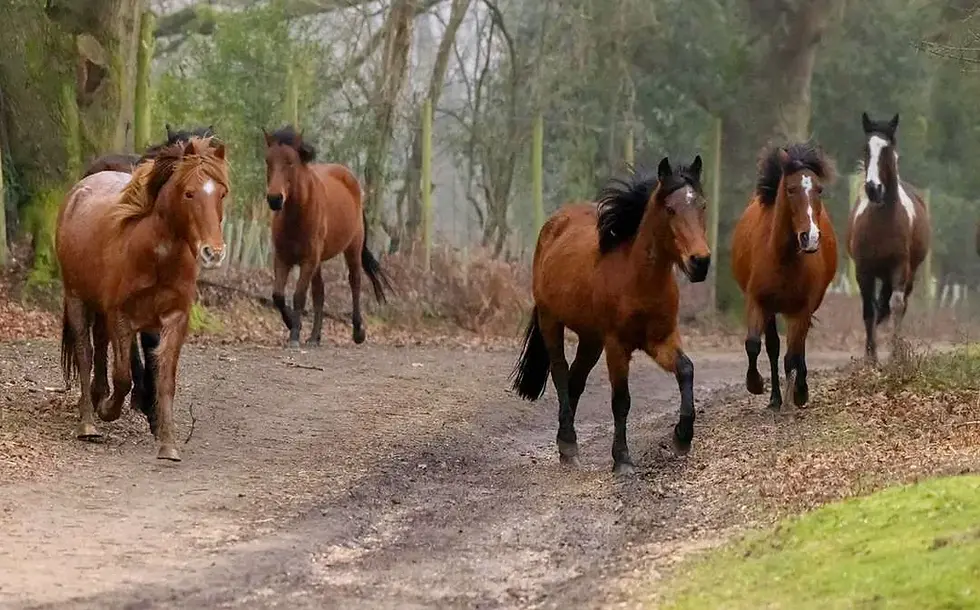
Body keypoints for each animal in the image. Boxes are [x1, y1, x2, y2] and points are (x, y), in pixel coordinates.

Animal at [56, 136, 229, 461]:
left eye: (222, 194)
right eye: (189, 193)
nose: (213, 253)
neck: (155, 255)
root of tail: (81, 188)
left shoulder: (175, 318)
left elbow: (165, 379)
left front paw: (168, 443)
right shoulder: (122, 315)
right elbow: (123, 375)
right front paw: (109, 410)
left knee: (100, 344)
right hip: (76, 298)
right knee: (85, 352)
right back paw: (88, 422)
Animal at [263, 125, 392, 347]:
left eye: (290, 162)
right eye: (268, 161)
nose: (274, 199)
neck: (297, 215)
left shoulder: (309, 260)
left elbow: (299, 295)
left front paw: (294, 334)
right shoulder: (282, 258)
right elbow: (278, 295)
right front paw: (293, 324)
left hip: (352, 248)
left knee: (354, 282)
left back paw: (358, 332)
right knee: (319, 293)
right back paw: (314, 337)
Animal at [510, 156, 710, 475]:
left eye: (701, 205)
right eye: (670, 209)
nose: (700, 262)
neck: (639, 281)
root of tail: (554, 224)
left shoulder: (661, 340)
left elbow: (686, 370)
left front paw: (682, 438)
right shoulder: (617, 346)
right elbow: (621, 401)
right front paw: (623, 459)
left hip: (591, 339)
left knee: (576, 379)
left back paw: (565, 445)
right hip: (551, 321)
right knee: (560, 372)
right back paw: (569, 445)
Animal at [732, 142, 838, 411]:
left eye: (819, 189)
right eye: (790, 189)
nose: (810, 238)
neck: (782, 258)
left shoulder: (802, 307)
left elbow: (793, 354)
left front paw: (797, 394)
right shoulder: (758, 301)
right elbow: (754, 344)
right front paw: (755, 384)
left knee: (797, 348)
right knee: (772, 347)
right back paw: (775, 399)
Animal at [846, 113, 931, 363]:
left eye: (887, 149)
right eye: (866, 148)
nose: (873, 188)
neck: (881, 221)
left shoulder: (900, 266)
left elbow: (896, 304)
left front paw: (894, 355)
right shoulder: (863, 269)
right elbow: (869, 309)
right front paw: (870, 358)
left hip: (910, 272)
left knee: (900, 304)